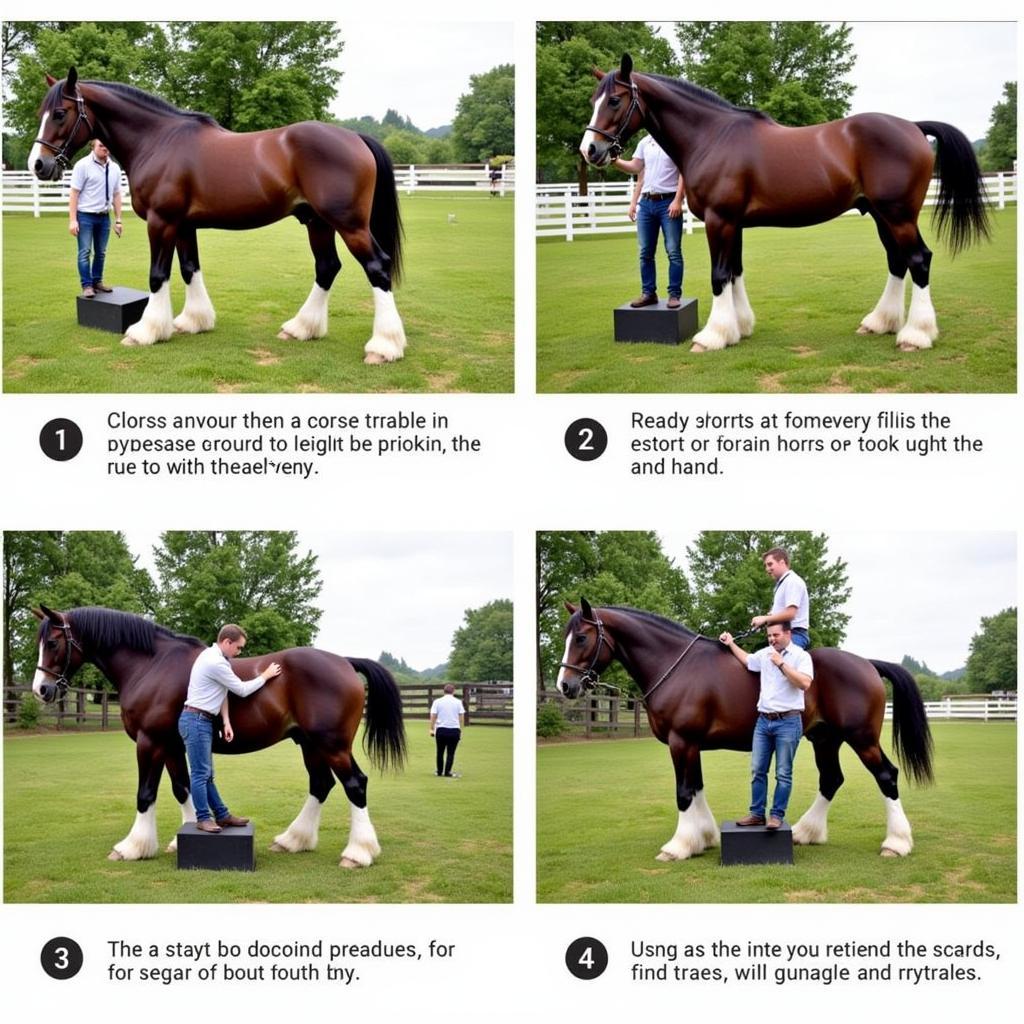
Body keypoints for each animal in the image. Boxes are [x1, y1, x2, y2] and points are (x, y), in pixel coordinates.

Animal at [29, 67, 403, 364]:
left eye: (60, 113)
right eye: (40, 114)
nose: (38, 165)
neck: (158, 140)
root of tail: (356, 137)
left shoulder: (161, 222)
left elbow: (157, 276)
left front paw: (145, 331)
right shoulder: (183, 225)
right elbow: (189, 269)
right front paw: (193, 321)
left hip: (349, 224)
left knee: (377, 267)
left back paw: (383, 347)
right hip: (318, 222)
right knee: (327, 267)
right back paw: (300, 328)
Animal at [32, 602, 407, 868]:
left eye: (52, 642)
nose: (42, 690)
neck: (152, 665)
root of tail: (344, 661)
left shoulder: (150, 743)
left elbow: (145, 794)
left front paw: (132, 847)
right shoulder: (172, 745)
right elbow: (183, 788)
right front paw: (182, 836)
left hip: (332, 744)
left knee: (354, 784)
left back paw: (357, 853)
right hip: (310, 744)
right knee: (321, 785)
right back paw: (292, 840)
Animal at [557, 598, 933, 864]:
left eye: (582, 637)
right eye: (566, 636)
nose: (565, 686)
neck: (676, 666)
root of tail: (867, 663)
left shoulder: (681, 741)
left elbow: (683, 793)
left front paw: (677, 846)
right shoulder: (691, 745)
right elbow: (696, 787)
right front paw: (703, 838)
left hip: (861, 738)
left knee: (886, 776)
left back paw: (896, 843)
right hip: (825, 739)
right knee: (831, 780)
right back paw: (805, 832)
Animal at [585, 58, 991, 358]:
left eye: (615, 101)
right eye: (593, 100)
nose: (590, 150)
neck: (712, 136)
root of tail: (913, 127)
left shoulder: (720, 220)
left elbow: (719, 275)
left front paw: (711, 336)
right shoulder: (734, 223)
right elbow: (734, 272)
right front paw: (739, 328)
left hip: (898, 214)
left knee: (919, 260)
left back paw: (915, 335)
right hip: (881, 215)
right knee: (897, 261)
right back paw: (879, 323)